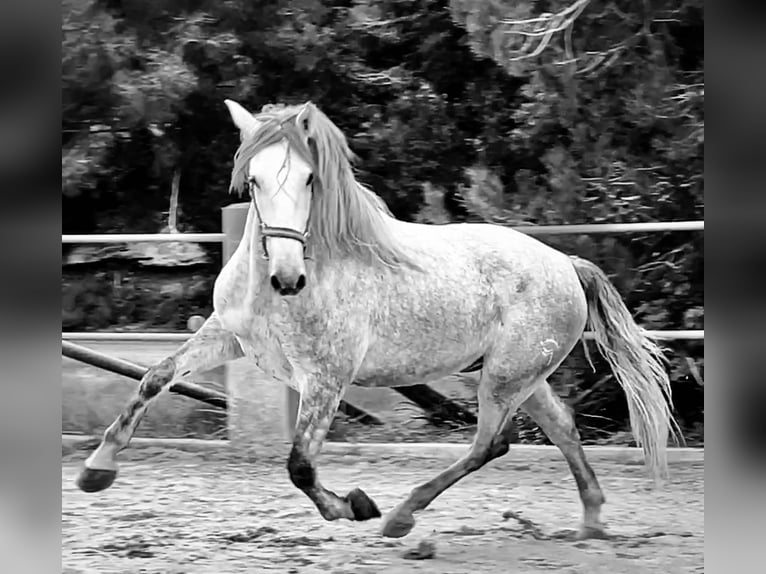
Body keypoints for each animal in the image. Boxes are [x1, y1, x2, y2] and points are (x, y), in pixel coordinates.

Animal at [76, 99, 679, 539]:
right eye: (254, 182)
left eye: (310, 180)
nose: (287, 278)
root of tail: (566, 264)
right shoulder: (228, 337)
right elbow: (154, 377)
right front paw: (96, 469)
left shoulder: (325, 379)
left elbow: (300, 465)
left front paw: (355, 506)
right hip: (523, 377)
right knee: (560, 428)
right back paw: (592, 522)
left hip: (505, 376)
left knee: (491, 444)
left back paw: (400, 515)